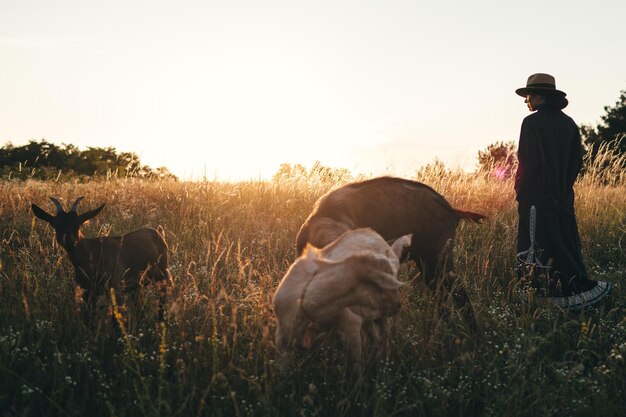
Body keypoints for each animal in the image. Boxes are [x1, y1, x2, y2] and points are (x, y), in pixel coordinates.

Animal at [30, 197, 169, 320]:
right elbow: (88, 318)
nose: (69, 241)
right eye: (56, 224)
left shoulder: (115, 288)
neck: (90, 254)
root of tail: (157, 232)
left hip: (162, 274)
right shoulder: (87, 292)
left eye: (78, 224)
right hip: (136, 285)